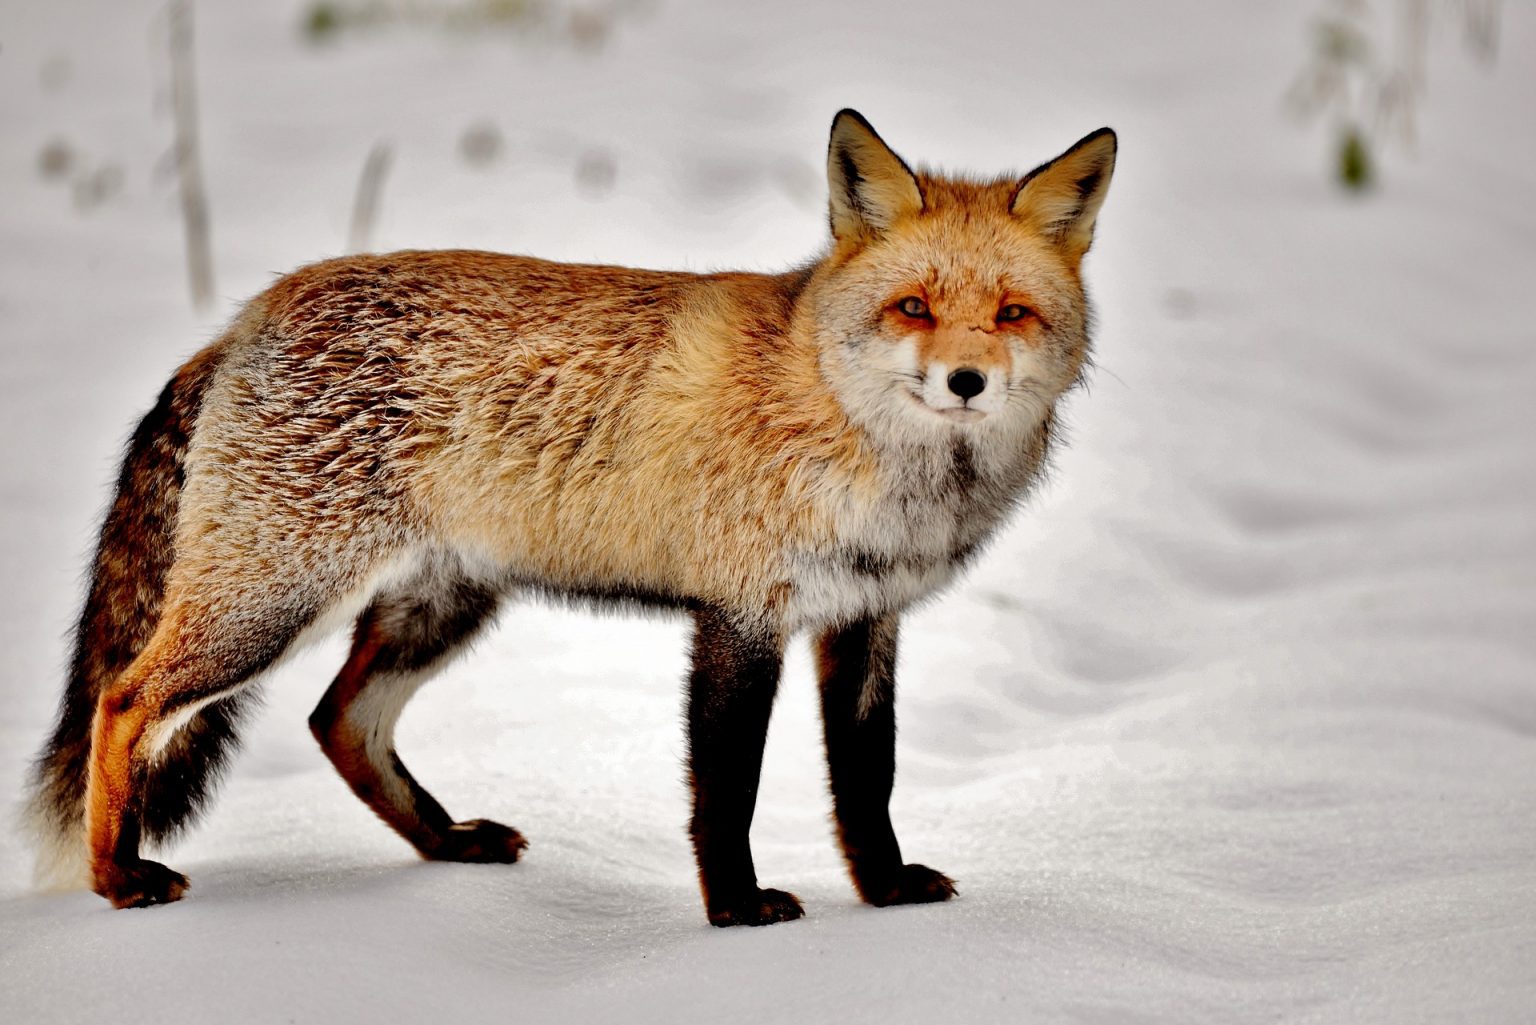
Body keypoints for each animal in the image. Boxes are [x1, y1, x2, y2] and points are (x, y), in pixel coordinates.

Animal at [21, 108, 1105, 928]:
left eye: (1011, 313)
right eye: (913, 307)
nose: (966, 380)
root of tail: (246, 316)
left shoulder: (866, 616)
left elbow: (866, 778)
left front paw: (883, 893)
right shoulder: (739, 615)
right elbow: (729, 788)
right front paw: (735, 912)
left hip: (438, 607)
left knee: (338, 722)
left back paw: (447, 842)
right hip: (271, 603)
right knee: (123, 697)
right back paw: (116, 877)